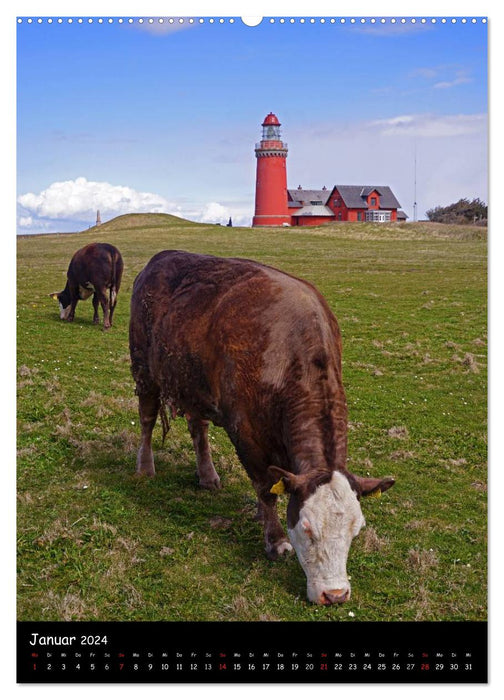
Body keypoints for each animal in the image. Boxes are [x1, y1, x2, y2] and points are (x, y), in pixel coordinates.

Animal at [129, 250, 394, 600]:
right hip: (144, 370)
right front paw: (275, 538)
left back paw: (208, 476)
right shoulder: (246, 432)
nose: (335, 595)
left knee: (198, 429)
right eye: (306, 527)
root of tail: (158, 259)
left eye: (356, 528)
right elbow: (265, 487)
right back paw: (145, 467)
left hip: (194, 385)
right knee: (147, 419)